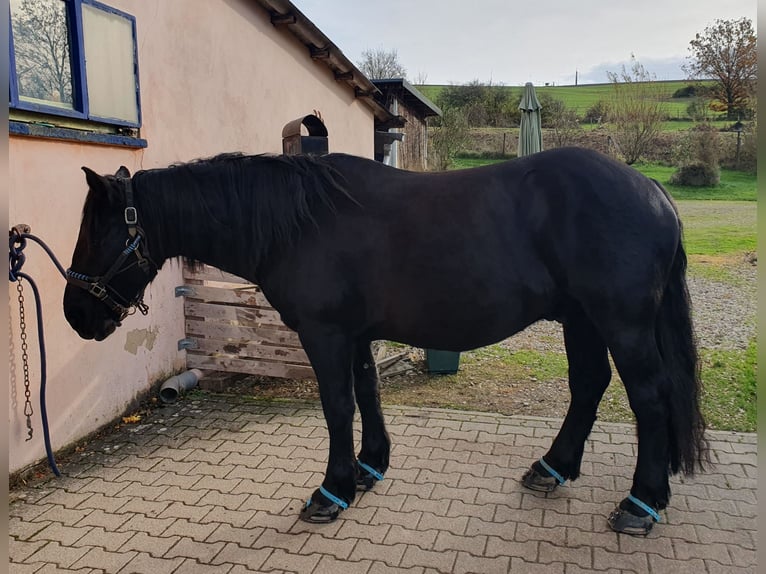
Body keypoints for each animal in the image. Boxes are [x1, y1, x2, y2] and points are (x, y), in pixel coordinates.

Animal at [64, 147, 708, 536]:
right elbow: (367, 393)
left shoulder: (325, 334)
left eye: (97, 232)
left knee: (649, 399)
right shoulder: (355, 334)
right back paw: (552, 468)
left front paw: (333, 490)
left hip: (621, 323)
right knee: (589, 386)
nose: (76, 315)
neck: (300, 222)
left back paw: (641, 502)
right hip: (582, 320)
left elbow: (337, 406)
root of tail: (652, 190)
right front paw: (369, 468)